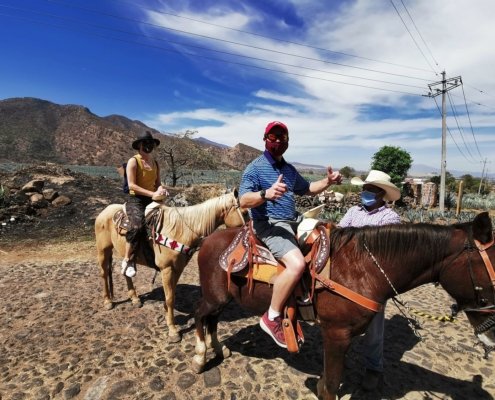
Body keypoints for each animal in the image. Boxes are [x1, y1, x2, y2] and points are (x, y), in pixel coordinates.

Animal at [94, 192, 245, 342]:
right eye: (244, 212)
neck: (181, 230)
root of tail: (104, 212)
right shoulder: (166, 269)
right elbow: (170, 298)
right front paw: (172, 330)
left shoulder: (177, 268)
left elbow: (171, 294)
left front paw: (168, 316)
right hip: (103, 250)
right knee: (103, 274)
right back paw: (108, 301)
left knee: (126, 271)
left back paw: (135, 298)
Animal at [193, 211, 495, 398]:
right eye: (490, 270)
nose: (491, 336)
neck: (364, 269)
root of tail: (209, 240)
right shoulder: (336, 334)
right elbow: (329, 386)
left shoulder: (344, 337)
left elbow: (330, 381)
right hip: (213, 297)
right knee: (200, 316)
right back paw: (199, 357)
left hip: (223, 299)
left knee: (212, 320)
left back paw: (218, 350)